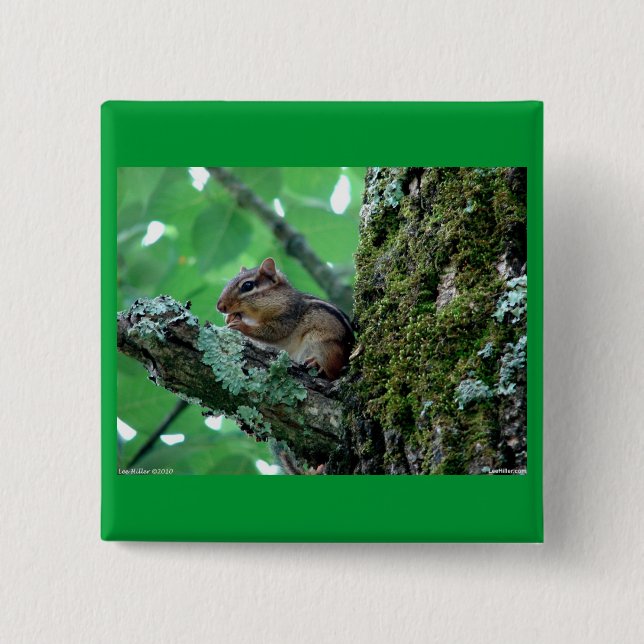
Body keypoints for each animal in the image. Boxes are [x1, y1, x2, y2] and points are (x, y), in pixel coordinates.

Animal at [216, 258, 354, 380]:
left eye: (247, 285)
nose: (219, 307)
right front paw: (229, 318)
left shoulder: (287, 317)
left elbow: (274, 332)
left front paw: (241, 325)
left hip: (324, 346)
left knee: (333, 371)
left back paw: (317, 364)